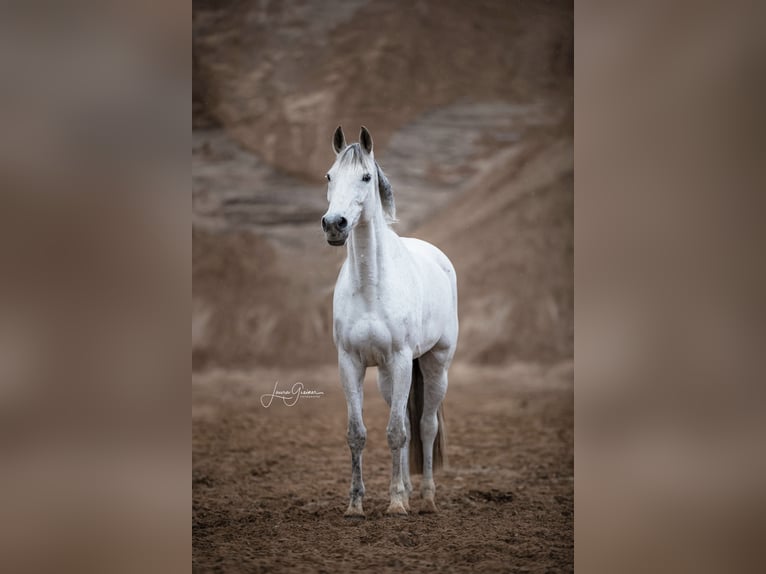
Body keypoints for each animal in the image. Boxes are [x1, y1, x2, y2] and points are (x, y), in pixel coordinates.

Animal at [320, 128, 460, 520]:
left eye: (366, 177)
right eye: (330, 176)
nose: (334, 225)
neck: (371, 287)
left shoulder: (400, 359)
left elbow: (397, 432)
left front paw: (396, 504)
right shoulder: (350, 363)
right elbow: (358, 433)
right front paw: (356, 504)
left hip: (435, 365)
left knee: (425, 426)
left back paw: (426, 497)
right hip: (386, 375)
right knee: (411, 427)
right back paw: (411, 492)